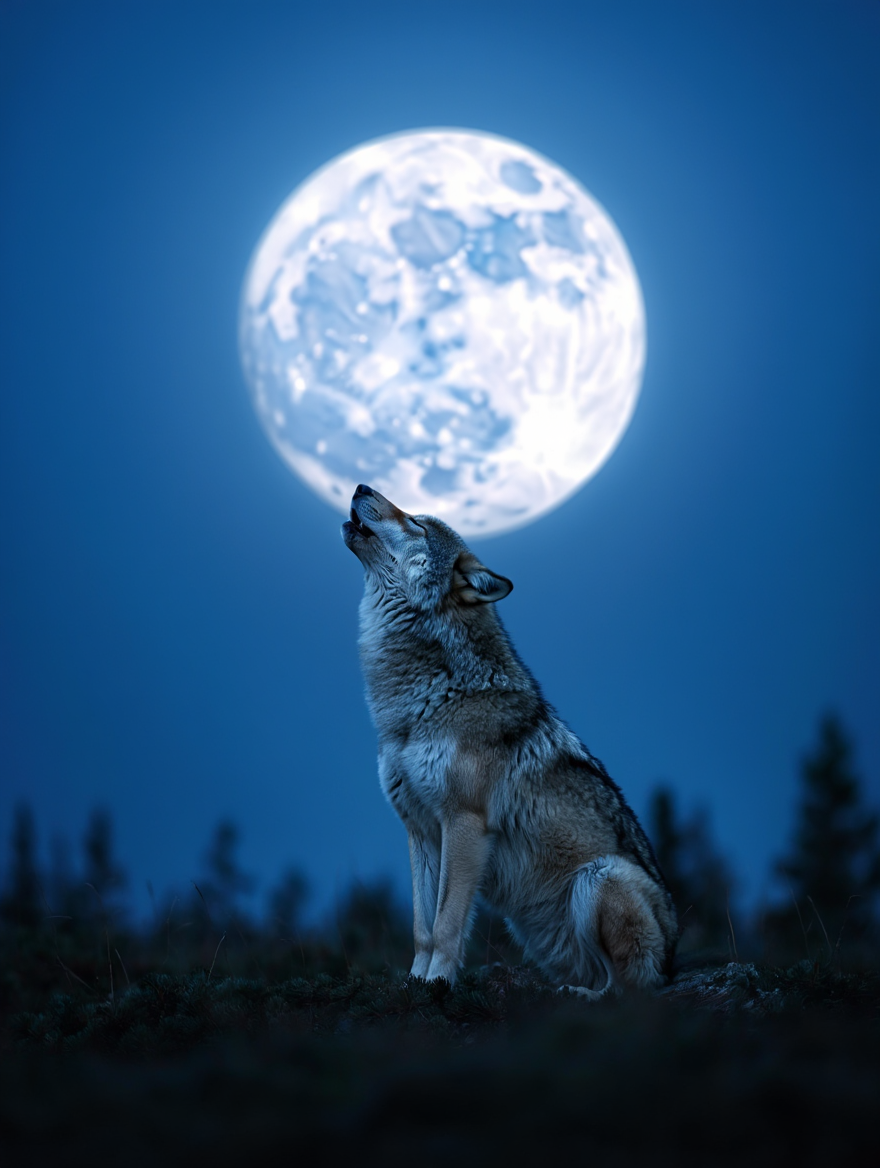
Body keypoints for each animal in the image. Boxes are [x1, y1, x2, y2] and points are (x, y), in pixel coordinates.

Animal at [342, 484, 677, 995]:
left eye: (415, 523)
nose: (361, 486)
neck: (427, 700)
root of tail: (675, 960)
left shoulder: (464, 823)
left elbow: (446, 924)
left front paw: (439, 985)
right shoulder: (420, 831)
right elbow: (422, 928)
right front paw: (415, 984)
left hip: (599, 877)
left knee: (628, 989)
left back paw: (581, 996)